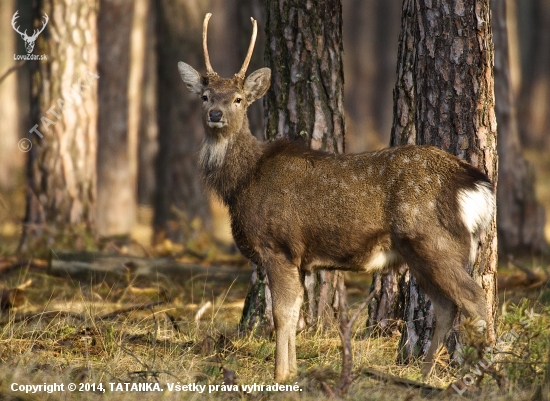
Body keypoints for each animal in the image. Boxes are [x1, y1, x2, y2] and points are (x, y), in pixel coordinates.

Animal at [179, 13, 498, 382]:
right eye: (205, 96)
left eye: (238, 99)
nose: (215, 114)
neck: (242, 182)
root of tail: (475, 183)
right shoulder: (300, 258)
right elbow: (296, 311)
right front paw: (293, 371)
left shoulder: (276, 245)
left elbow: (282, 315)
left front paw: (280, 375)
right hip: (420, 251)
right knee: (446, 305)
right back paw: (426, 373)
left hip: (435, 241)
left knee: (474, 298)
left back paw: (481, 373)